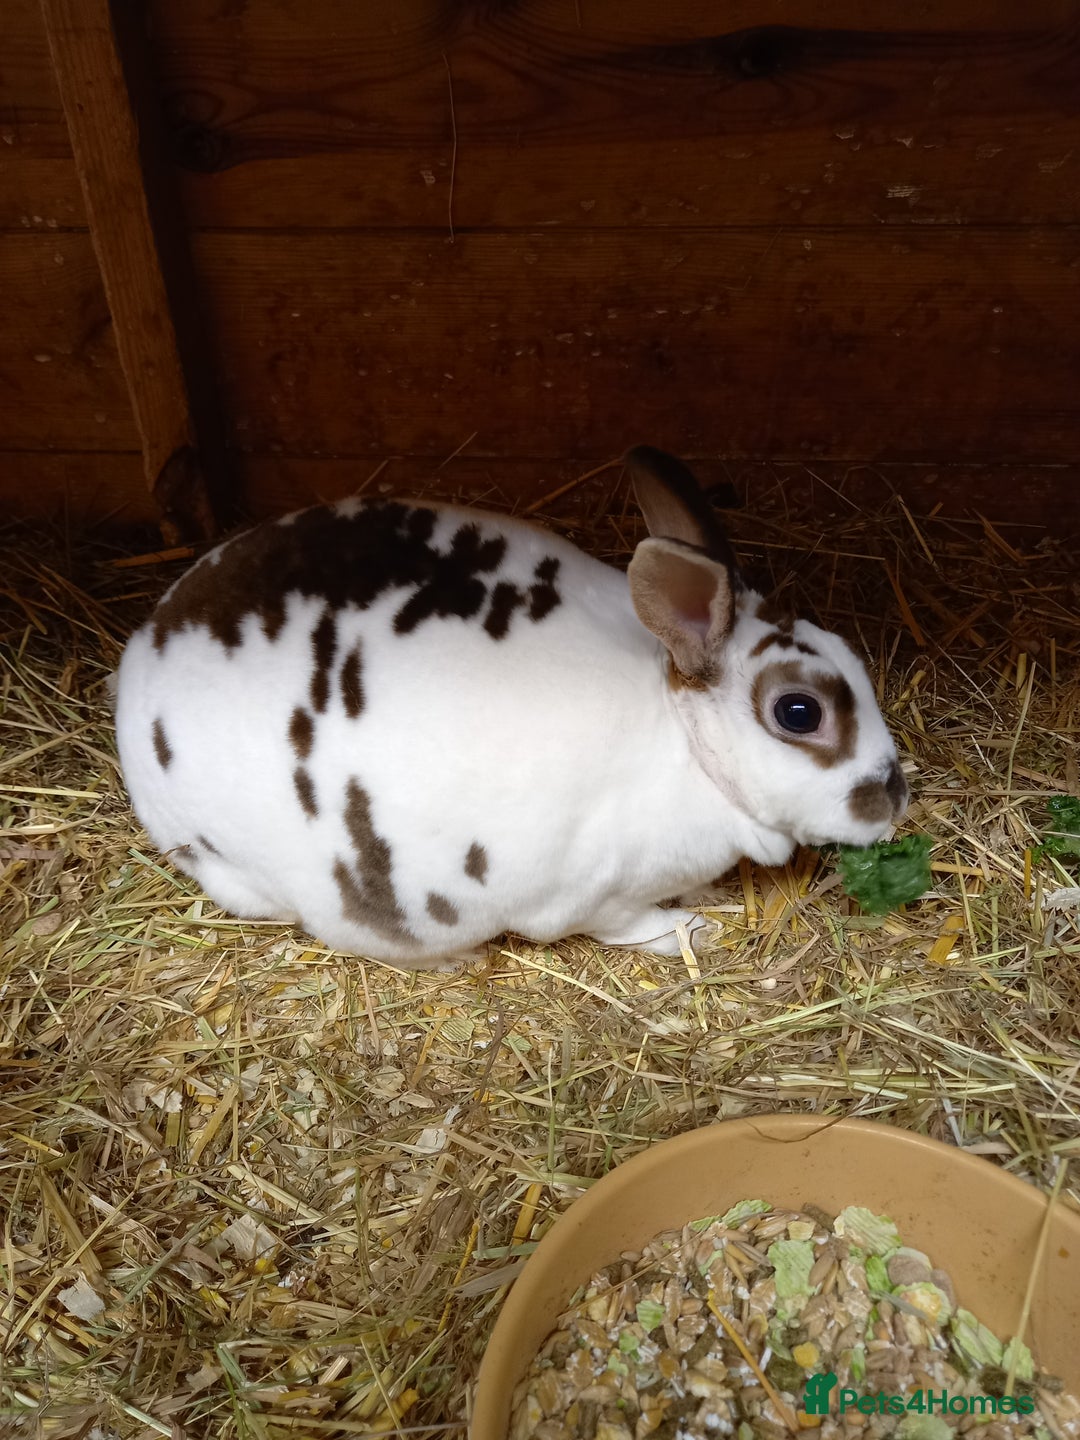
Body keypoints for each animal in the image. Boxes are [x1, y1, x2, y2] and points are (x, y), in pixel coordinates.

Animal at [114, 446, 908, 971]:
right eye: (799, 713)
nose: (893, 799)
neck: (685, 741)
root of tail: (137, 672)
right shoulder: (599, 898)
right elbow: (632, 927)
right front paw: (693, 930)